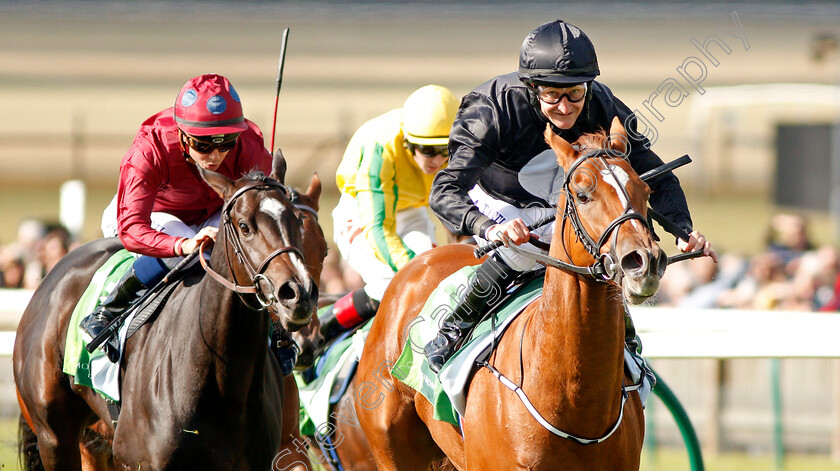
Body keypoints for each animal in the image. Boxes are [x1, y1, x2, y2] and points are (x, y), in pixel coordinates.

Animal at [14, 153, 320, 470]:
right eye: (245, 226)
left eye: (297, 221)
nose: (297, 294)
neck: (223, 378)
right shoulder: (138, 460)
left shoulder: (277, 452)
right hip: (55, 437)